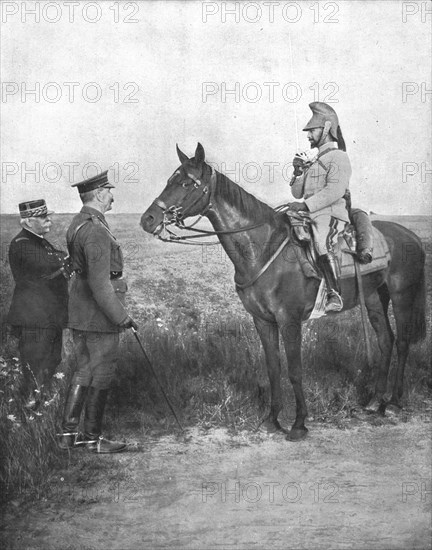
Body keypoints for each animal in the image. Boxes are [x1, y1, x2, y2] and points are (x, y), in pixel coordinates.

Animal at [141, 143, 426, 444]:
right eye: (169, 180)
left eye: (185, 183)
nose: (148, 219)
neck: (263, 248)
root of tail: (412, 237)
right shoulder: (263, 321)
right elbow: (273, 369)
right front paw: (272, 419)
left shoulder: (289, 321)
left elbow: (295, 371)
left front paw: (299, 424)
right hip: (374, 297)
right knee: (386, 340)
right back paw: (374, 402)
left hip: (402, 296)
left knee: (403, 342)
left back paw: (393, 402)